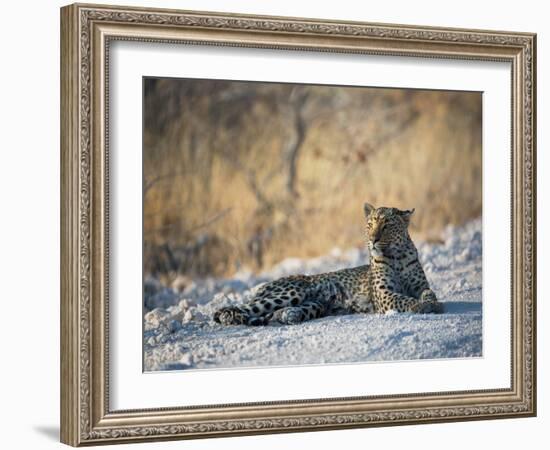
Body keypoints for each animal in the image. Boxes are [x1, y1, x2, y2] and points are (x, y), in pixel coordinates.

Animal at [213, 205, 446, 326]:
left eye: (387, 225)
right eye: (370, 224)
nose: (373, 240)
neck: (396, 256)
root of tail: (263, 286)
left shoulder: (420, 285)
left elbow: (429, 292)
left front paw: (432, 303)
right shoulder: (384, 295)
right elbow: (404, 299)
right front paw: (421, 306)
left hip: (314, 304)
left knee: (272, 313)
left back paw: (288, 315)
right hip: (290, 292)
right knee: (236, 308)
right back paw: (231, 317)